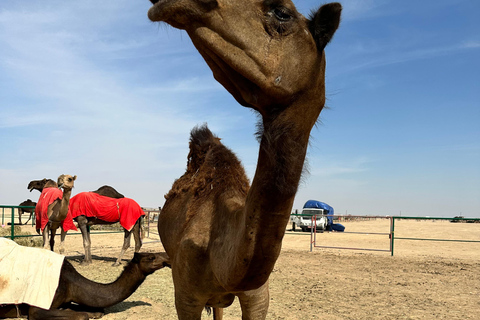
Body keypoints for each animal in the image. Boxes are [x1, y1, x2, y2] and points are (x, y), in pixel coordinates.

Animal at [0, 239, 171, 318]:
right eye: (151, 257)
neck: (70, 283)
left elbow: (96, 311)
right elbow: (82, 315)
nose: (168, 258)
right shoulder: (40, 305)